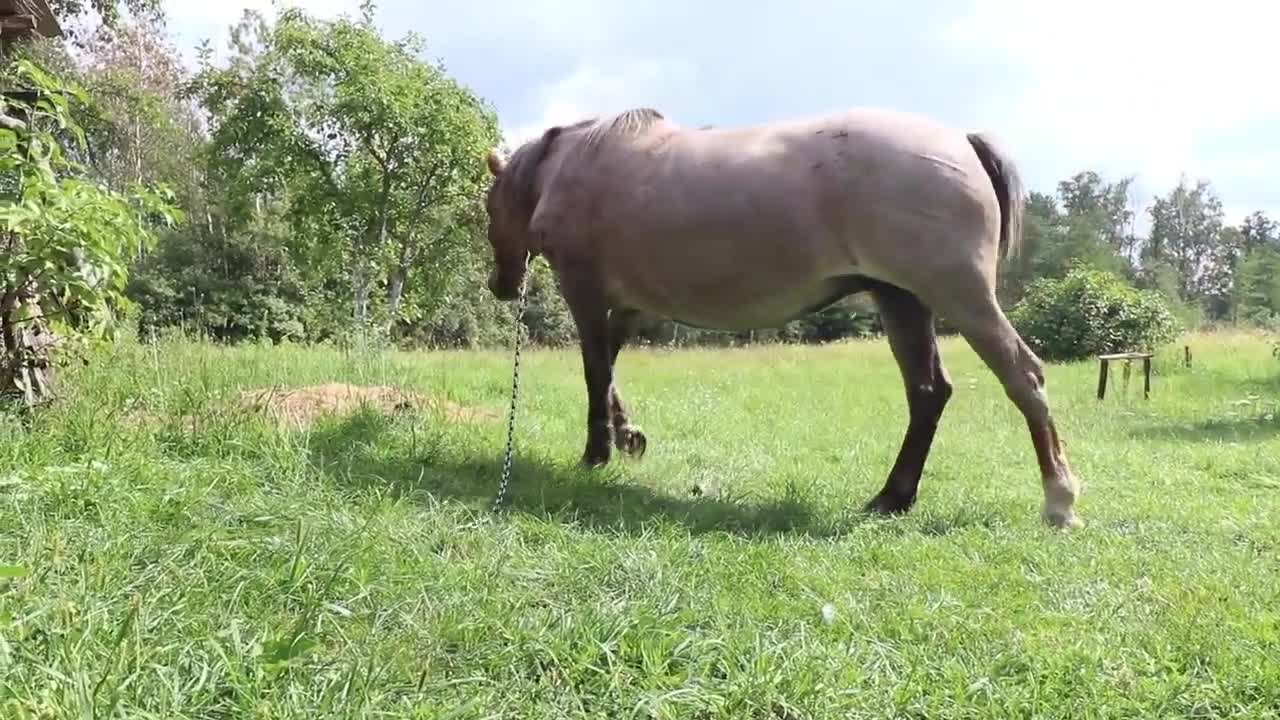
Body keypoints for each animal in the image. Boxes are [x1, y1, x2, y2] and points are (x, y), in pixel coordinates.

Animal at [481, 105, 1080, 527]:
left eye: (488, 206)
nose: (500, 286)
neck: (577, 162)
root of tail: (963, 140)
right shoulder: (629, 304)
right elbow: (608, 367)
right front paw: (628, 436)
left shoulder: (583, 289)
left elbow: (594, 372)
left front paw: (597, 453)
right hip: (902, 300)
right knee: (929, 392)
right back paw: (892, 497)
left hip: (959, 296)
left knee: (1023, 376)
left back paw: (1060, 500)